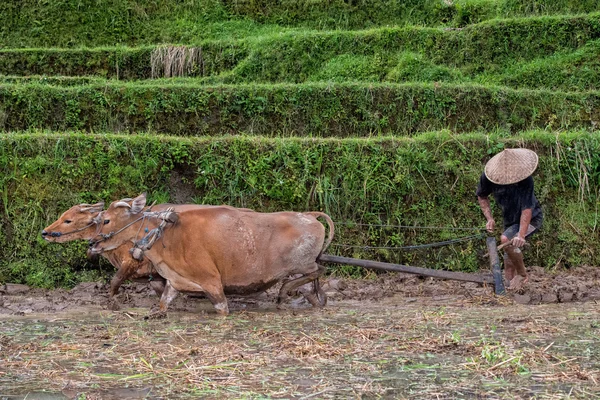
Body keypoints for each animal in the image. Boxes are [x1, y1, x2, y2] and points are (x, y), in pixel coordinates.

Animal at [90, 194, 332, 316]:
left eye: (106, 220)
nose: (92, 243)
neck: (167, 233)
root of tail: (310, 216)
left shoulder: (212, 283)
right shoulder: (175, 282)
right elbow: (162, 304)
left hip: (303, 264)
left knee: (319, 270)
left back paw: (284, 292)